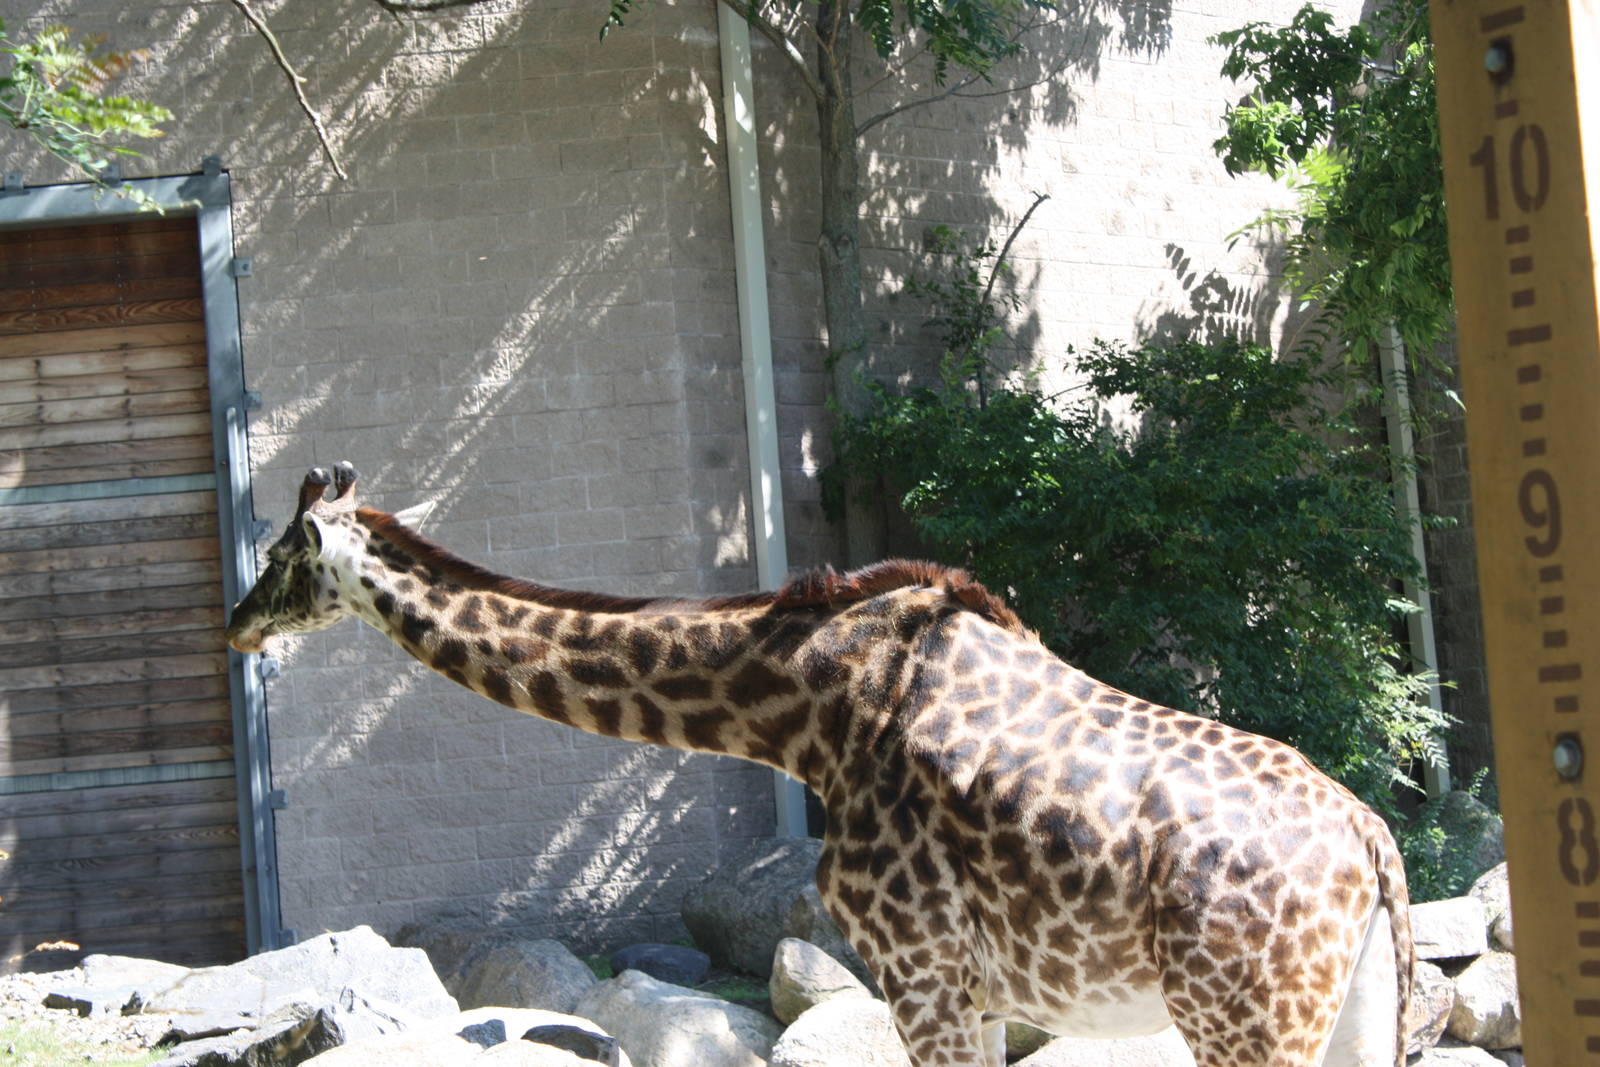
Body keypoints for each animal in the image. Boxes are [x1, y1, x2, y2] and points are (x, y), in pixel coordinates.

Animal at [225, 463, 1414, 1067]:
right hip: (1345, 1013)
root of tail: (1373, 842)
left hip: (1247, 1018)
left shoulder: (925, 975)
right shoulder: (967, 990)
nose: (233, 624)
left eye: (281, 553)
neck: (799, 707)